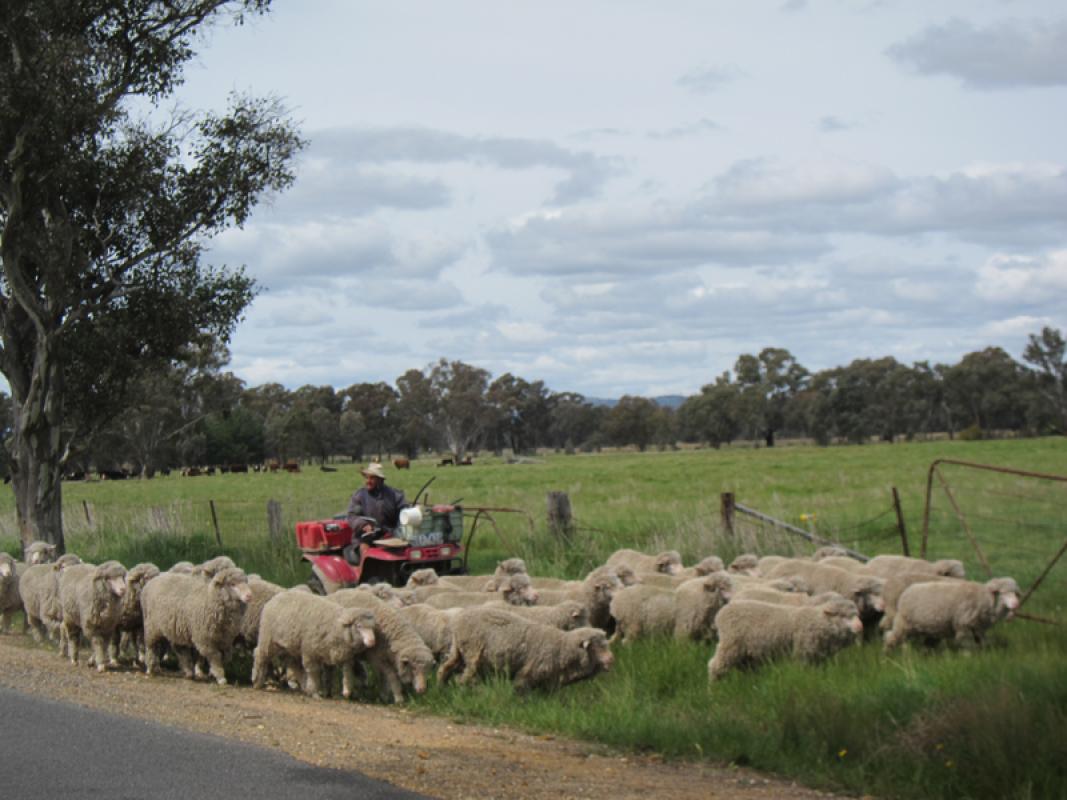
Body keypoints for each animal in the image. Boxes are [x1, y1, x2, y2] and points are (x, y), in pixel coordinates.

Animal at [435, 610, 618, 691]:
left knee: (445, 668)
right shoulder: (528, 672)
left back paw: (441, 686)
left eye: (606, 644)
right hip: (472, 653)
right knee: (464, 677)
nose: (611, 659)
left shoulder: (550, 680)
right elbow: (521, 689)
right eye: (597, 646)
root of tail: (459, 620)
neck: (561, 645)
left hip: (458, 651)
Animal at [708, 597, 866, 682]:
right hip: (730, 645)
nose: (860, 626)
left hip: (745, 653)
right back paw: (713, 690)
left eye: (857, 615)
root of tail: (721, 613)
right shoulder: (803, 653)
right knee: (715, 666)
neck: (819, 621)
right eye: (843, 615)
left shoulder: (819, 657)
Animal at [879, 576, 1020, 652]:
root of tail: (908, 591)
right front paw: (968, 658)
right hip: (903, 622)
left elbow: (981, 643)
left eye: (1015, 593)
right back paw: (886, 655)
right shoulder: (964, 625)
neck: (983, 598)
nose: (1016, 604)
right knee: (891, 636)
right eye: (1003, 593)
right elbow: (967, 645)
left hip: (921, 627)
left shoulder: (978, 628)